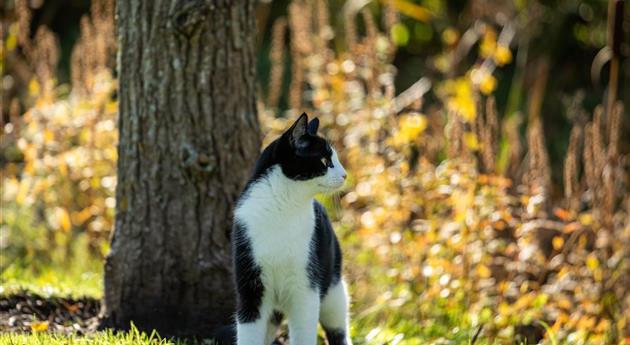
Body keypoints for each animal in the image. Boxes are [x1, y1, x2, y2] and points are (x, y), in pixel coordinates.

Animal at [232, 113, 354, 344]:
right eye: (325, 161)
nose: (345, 175)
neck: (283, 208)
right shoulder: (250, 286)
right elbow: (249, 332)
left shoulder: (305, 288)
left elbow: (304, 332)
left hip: (333, 288)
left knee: (338, 330)